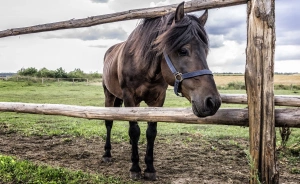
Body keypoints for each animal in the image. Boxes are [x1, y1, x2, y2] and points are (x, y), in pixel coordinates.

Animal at [102, 1, 221, 180]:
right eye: (183, 50)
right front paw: (135, 168)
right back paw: (107, 153)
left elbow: (151, 132)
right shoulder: (130, 98)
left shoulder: (158, 99)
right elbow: (134, 130)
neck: (142, 65)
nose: (212, 102)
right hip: (109, 95)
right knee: (109, 122)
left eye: (205, 51)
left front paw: (150, 168)